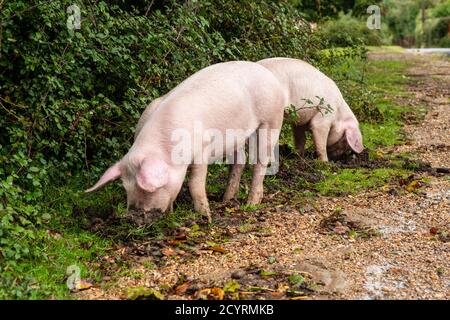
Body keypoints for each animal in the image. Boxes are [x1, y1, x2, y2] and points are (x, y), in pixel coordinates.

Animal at [86, 62, 286, 222]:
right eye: (126, 188)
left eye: (147, 189)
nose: (133, 217)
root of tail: (267, 72)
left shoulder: (202, 150)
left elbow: (194, 184)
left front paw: (206, 217)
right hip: (237, 135)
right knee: (239, 161)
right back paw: (226, 199)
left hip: (272, 119)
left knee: (261, 161)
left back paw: (251, 204)